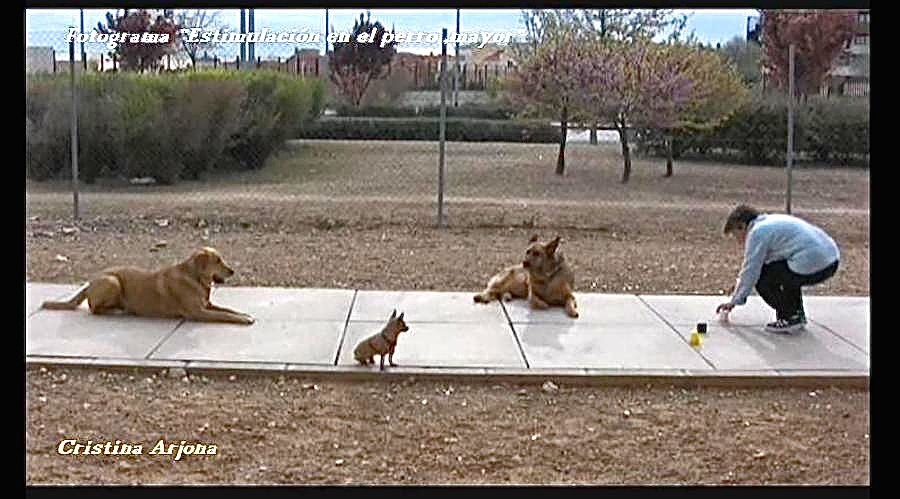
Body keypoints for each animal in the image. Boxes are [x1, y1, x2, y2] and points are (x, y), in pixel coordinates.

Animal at [40, 248, 255, 326]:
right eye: (217, 261)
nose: (232, 271)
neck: (195, 277)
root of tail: (90, 281)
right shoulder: (198, 312)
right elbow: (224, 315)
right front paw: (243, 320)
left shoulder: (207, 305)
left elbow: (228, 310)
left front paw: (244, 314)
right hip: (113, 281)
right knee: (95, 309)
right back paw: (119, 311)